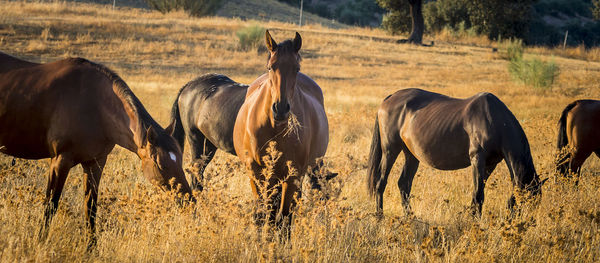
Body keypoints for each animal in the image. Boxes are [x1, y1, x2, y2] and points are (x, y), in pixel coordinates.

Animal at [0, 52, 192, 246]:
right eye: (159, 164)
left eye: (180, 159)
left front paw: (91, 248)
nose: (188, 199)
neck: (94, 104)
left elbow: (90, 208)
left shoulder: (95, 163)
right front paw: (40, 241)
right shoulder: (60, 161)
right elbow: (51, 204)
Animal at [233, 31, 328, 228]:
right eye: (270, 67)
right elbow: (263, 213)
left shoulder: (293, 175)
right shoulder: (256, 172)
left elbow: (283, 216)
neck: (273, 128)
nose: (281, 109)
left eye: (296, 69)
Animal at [368, 89, 548, 218]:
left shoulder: (491, 164)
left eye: (537, 201)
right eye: (525, 200)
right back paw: (379, 216)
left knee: (404, 184)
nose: (524, 224)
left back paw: (409, 217)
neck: (494, 120)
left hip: (412, 155)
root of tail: (389, 98)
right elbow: (478, 194)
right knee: (381, 182)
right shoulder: (477, 159)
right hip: (390, 150)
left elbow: (477, 194)